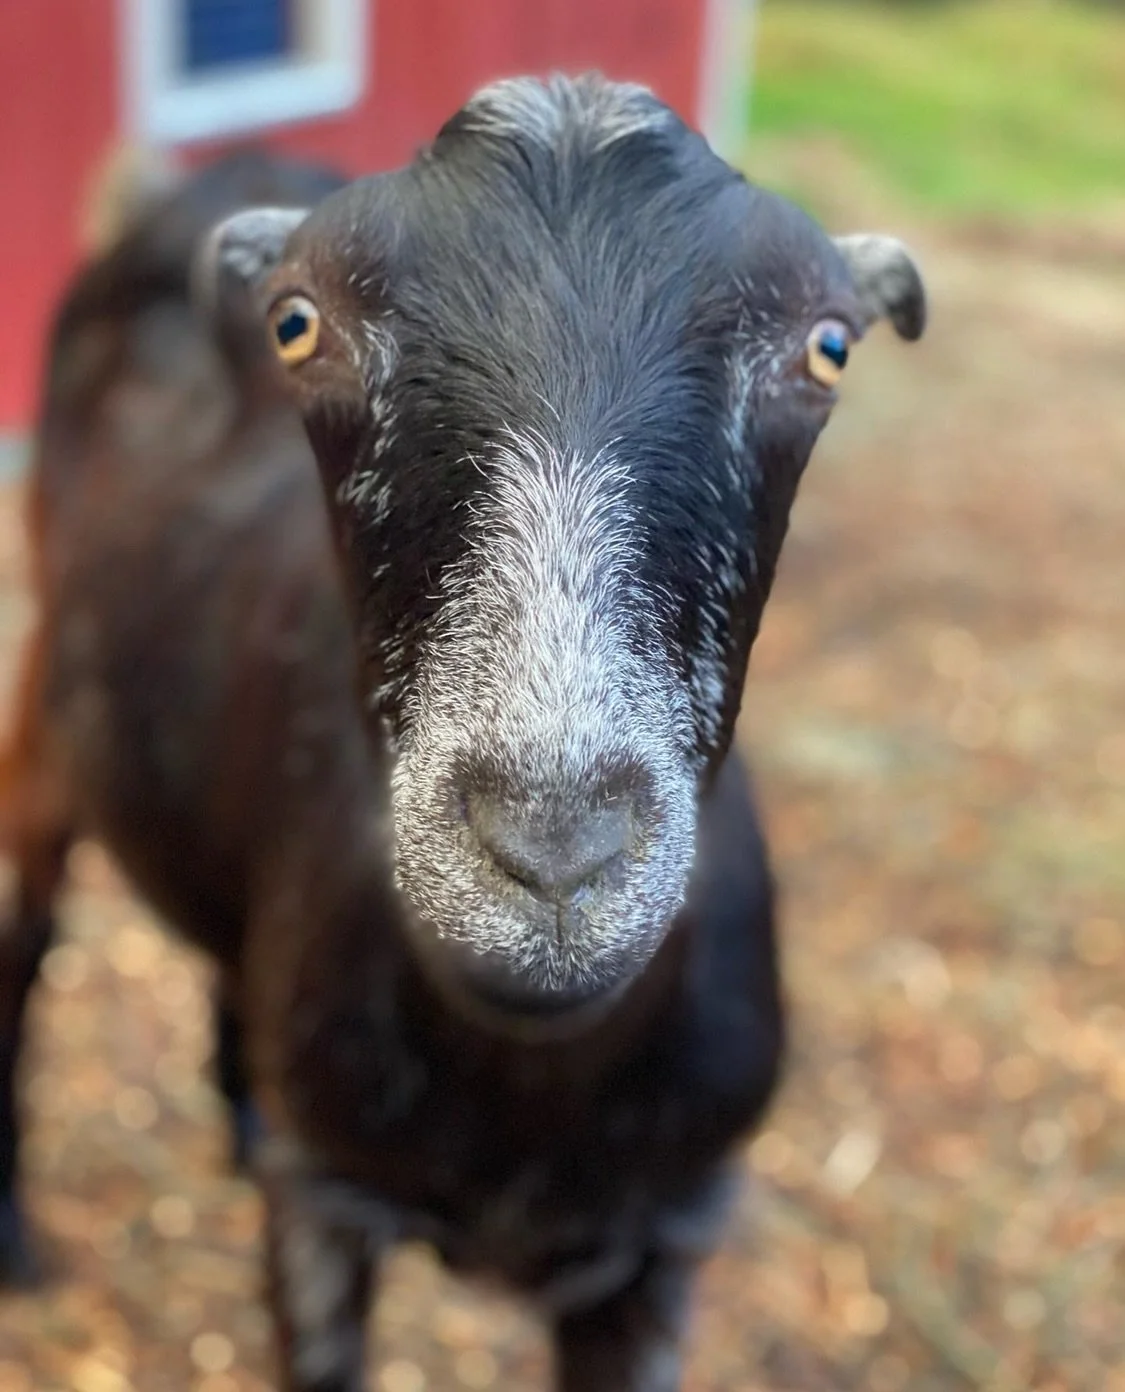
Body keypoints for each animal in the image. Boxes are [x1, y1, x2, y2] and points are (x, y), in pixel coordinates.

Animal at [2, 75, 925, 1390]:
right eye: (297, 325)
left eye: (829, 346)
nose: (553, 849)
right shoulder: (327, 1210)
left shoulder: (671, 1242)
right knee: (23, 940)